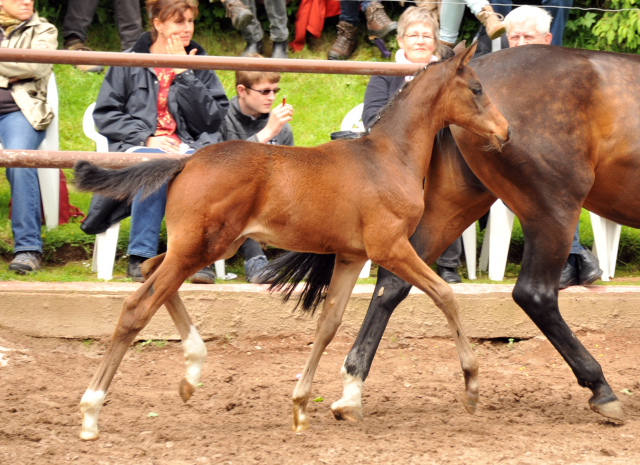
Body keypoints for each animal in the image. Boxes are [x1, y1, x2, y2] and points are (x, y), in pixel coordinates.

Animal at [72, 40, 508, 438]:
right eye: (476, 88)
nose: (505, 130)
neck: (388, 157)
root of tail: (185, 161)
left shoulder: (351, 256)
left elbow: (329, 323)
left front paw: (300, 406)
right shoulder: (390, 247)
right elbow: (444, 294)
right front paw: (471, 386)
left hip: (207, 246)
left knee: (149, 268)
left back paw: (191, 372)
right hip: (200, 248)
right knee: (136, 307)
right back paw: (91, 412)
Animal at [268, 46, 636, 424]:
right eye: (475, 90)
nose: (506, 130)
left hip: (452, 205)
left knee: (393, 284)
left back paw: (352, 390)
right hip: (554, 207)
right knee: (535, 294)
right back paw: (600, 388)